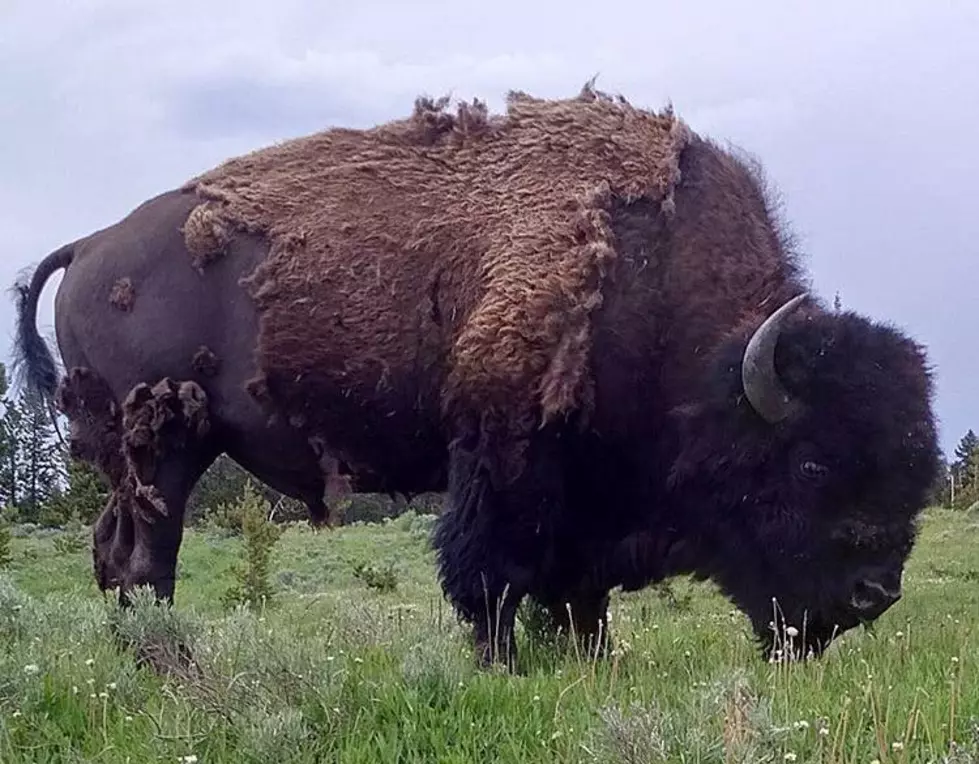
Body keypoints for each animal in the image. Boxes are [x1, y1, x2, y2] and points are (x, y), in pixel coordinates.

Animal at [11, 85, 936, 668]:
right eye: (810, 461)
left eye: (914, 468)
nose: (874, 594)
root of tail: (90, 245)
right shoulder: (504, 455)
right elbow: (491, 573)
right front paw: (503, 668)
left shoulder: (587, 501)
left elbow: (579, 592)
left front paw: (591, 660)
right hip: (167, 447)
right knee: (147, 559)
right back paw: (168, 662)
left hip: (137, 462)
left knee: (113, 553)